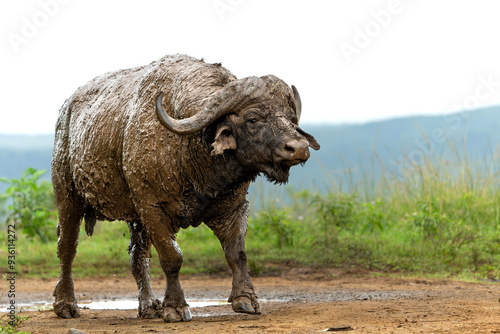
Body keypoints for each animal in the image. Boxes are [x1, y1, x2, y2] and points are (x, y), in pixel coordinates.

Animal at [51, 53, 320, 322]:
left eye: (291, 118)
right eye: (253, 119)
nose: (298, 148)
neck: (190, 152)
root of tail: (65, 113)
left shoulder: (234, 207)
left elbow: (237, 253)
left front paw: (246, 299)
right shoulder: (153, 208)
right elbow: (172, 257)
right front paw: (176, 306)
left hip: (135, 217)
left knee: (138, 257)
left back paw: (148, 305)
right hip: (68, 198)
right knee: (67, 248)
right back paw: (65, 304)